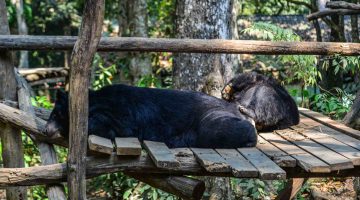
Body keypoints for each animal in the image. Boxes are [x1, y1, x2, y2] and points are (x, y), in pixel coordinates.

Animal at [45, 84, 258, 148]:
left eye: (55, 113)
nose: (46, 129)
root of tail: (235, 108)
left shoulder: (123, 115)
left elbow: (106, 125)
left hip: (211, 119)